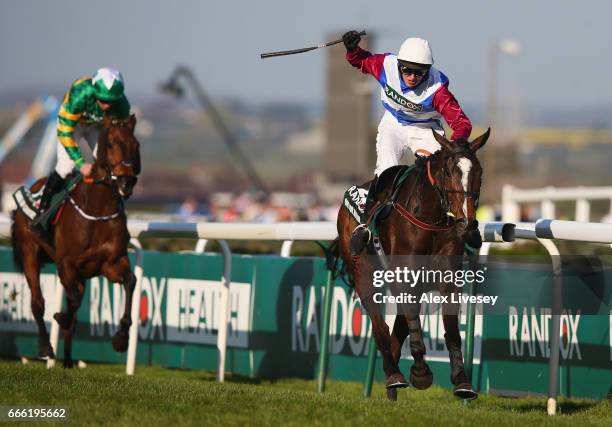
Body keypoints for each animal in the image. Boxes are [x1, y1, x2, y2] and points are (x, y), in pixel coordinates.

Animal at [11, 114, 140, 368]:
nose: (126, 183)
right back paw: (46, 347)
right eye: (110, 144)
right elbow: (71, 299)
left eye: (136, 145)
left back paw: (69, 361)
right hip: (29, 252)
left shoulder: (111, 263)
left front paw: (121, 338)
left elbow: (130, 281)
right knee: (37, 302)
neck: (98, 210)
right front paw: (59, 318)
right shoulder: (66, 263)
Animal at [338, 130, 490, 402]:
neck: (431, 217)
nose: (468, 223)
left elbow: (451, 328)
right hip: (362, 273)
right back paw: (394, 375)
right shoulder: (405, 274)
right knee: (380, 326)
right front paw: (420, 372)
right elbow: (411, 321)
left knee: (397, 328)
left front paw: (462, 380)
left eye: (479, 173)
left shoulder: (448, 278)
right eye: (449, 172)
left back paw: (392, 382)